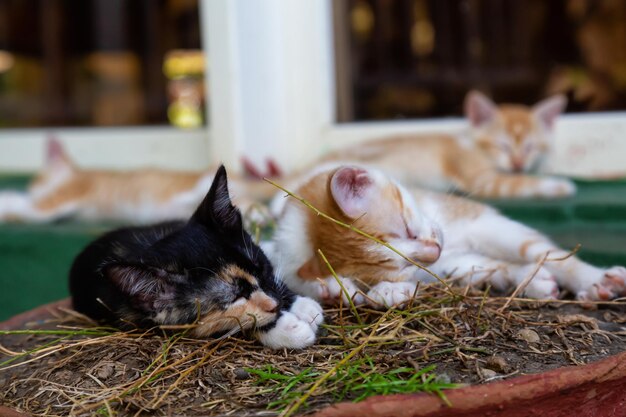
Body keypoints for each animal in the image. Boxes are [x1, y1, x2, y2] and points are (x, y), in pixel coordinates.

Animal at [68, 165, 322, 348]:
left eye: (262, 268)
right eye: (234, 298)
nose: (277, 304)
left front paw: (302, 304)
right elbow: (230, 326)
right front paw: (288, 330)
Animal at [264, 163, 624, 306]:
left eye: (408, 229)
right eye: (400, 267)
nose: (434, 252)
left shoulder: (482, 223)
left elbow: (546, 253)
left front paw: (592, 278)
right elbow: (294, 279)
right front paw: (365, 290)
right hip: (461, 266)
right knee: (493, 268)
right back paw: (534, 283)